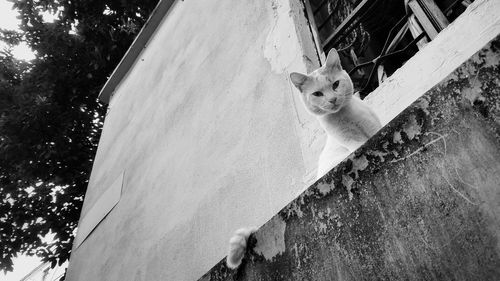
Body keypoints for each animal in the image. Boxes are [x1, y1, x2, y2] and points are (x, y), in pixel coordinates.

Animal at [227, 48, 382, 270]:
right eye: (317, 94)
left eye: (335, 84)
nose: (332, 99)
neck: (346, 116)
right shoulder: (351, 141)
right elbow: (359, 143)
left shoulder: (372, 127)